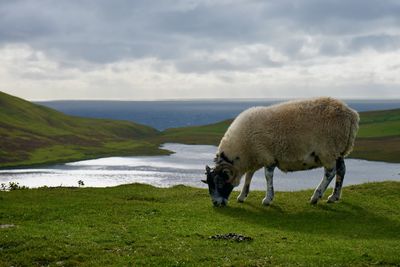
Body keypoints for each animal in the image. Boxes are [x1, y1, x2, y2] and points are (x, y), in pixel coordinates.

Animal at [203, 97, 360, 207]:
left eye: (220, 183)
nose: (216, 203)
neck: (243, 150)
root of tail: (351, 114)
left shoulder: (267, 157)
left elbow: (267, 177)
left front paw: (267, 199)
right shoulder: (256, 157)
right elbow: (249, 175)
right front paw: (242, 196)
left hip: (327, 150)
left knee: (330, 173)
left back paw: (316, 197)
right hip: (338, 150)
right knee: (341, 170)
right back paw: (334, 197)